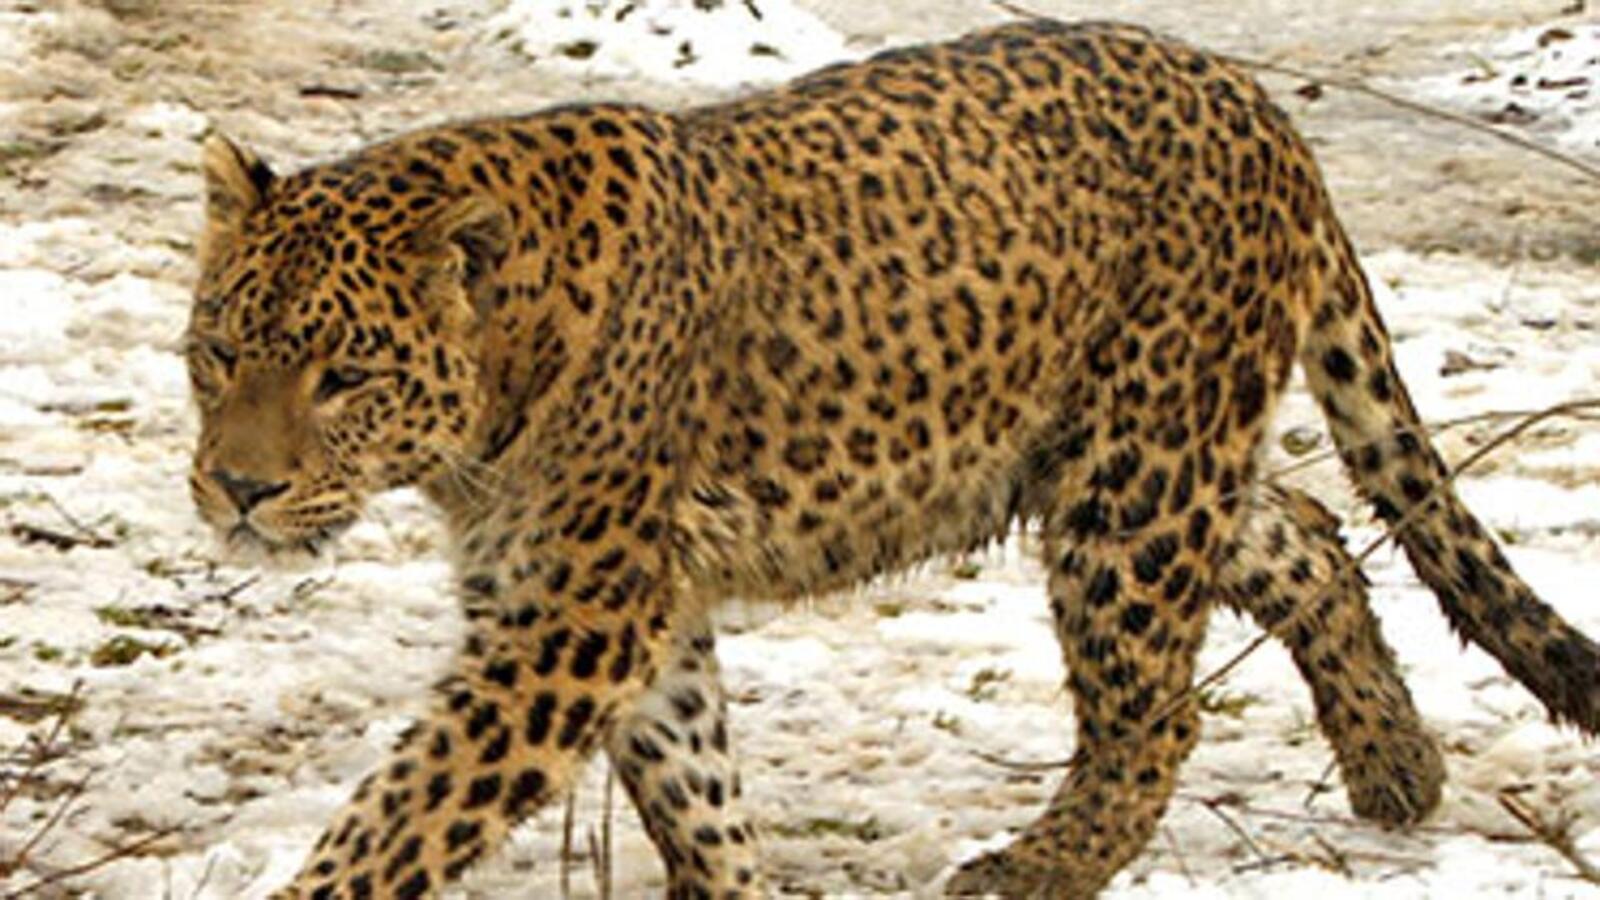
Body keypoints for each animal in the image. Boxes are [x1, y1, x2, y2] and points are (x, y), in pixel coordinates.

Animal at [185, 18, 1600, 899]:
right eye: (217, 352)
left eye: (345, 376)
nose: (239, 491)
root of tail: (1254, 104)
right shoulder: (626, 610)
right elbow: (697, 786)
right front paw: (737, 886)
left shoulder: (576, 618)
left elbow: (409, 811)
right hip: (1123, 456)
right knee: (1304, 531)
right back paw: (1395, 769)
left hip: (1134, 479)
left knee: (1154, 713)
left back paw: (1033, 870)